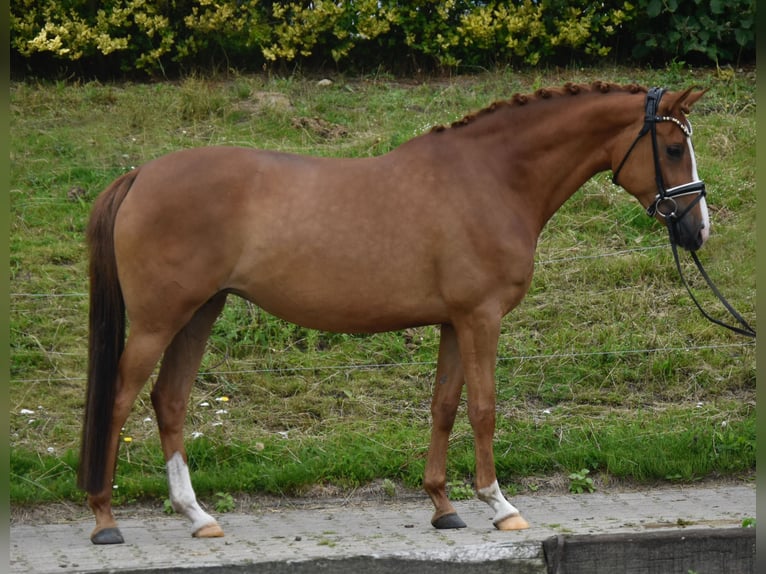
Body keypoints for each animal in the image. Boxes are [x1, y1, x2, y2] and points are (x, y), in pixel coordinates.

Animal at [79, 82, 709, 544]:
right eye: (673, 149)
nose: (698, 231)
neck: (491, 177)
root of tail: (140, 175)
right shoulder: (481, 318)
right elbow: (483, 409)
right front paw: (499, 504)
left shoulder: (455, 321)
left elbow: (445, 408)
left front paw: (443, 505)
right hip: (160, 320)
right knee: (119, 399)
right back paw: (105, 519)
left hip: (200, 312)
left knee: (170, 400)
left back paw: (198, 516)